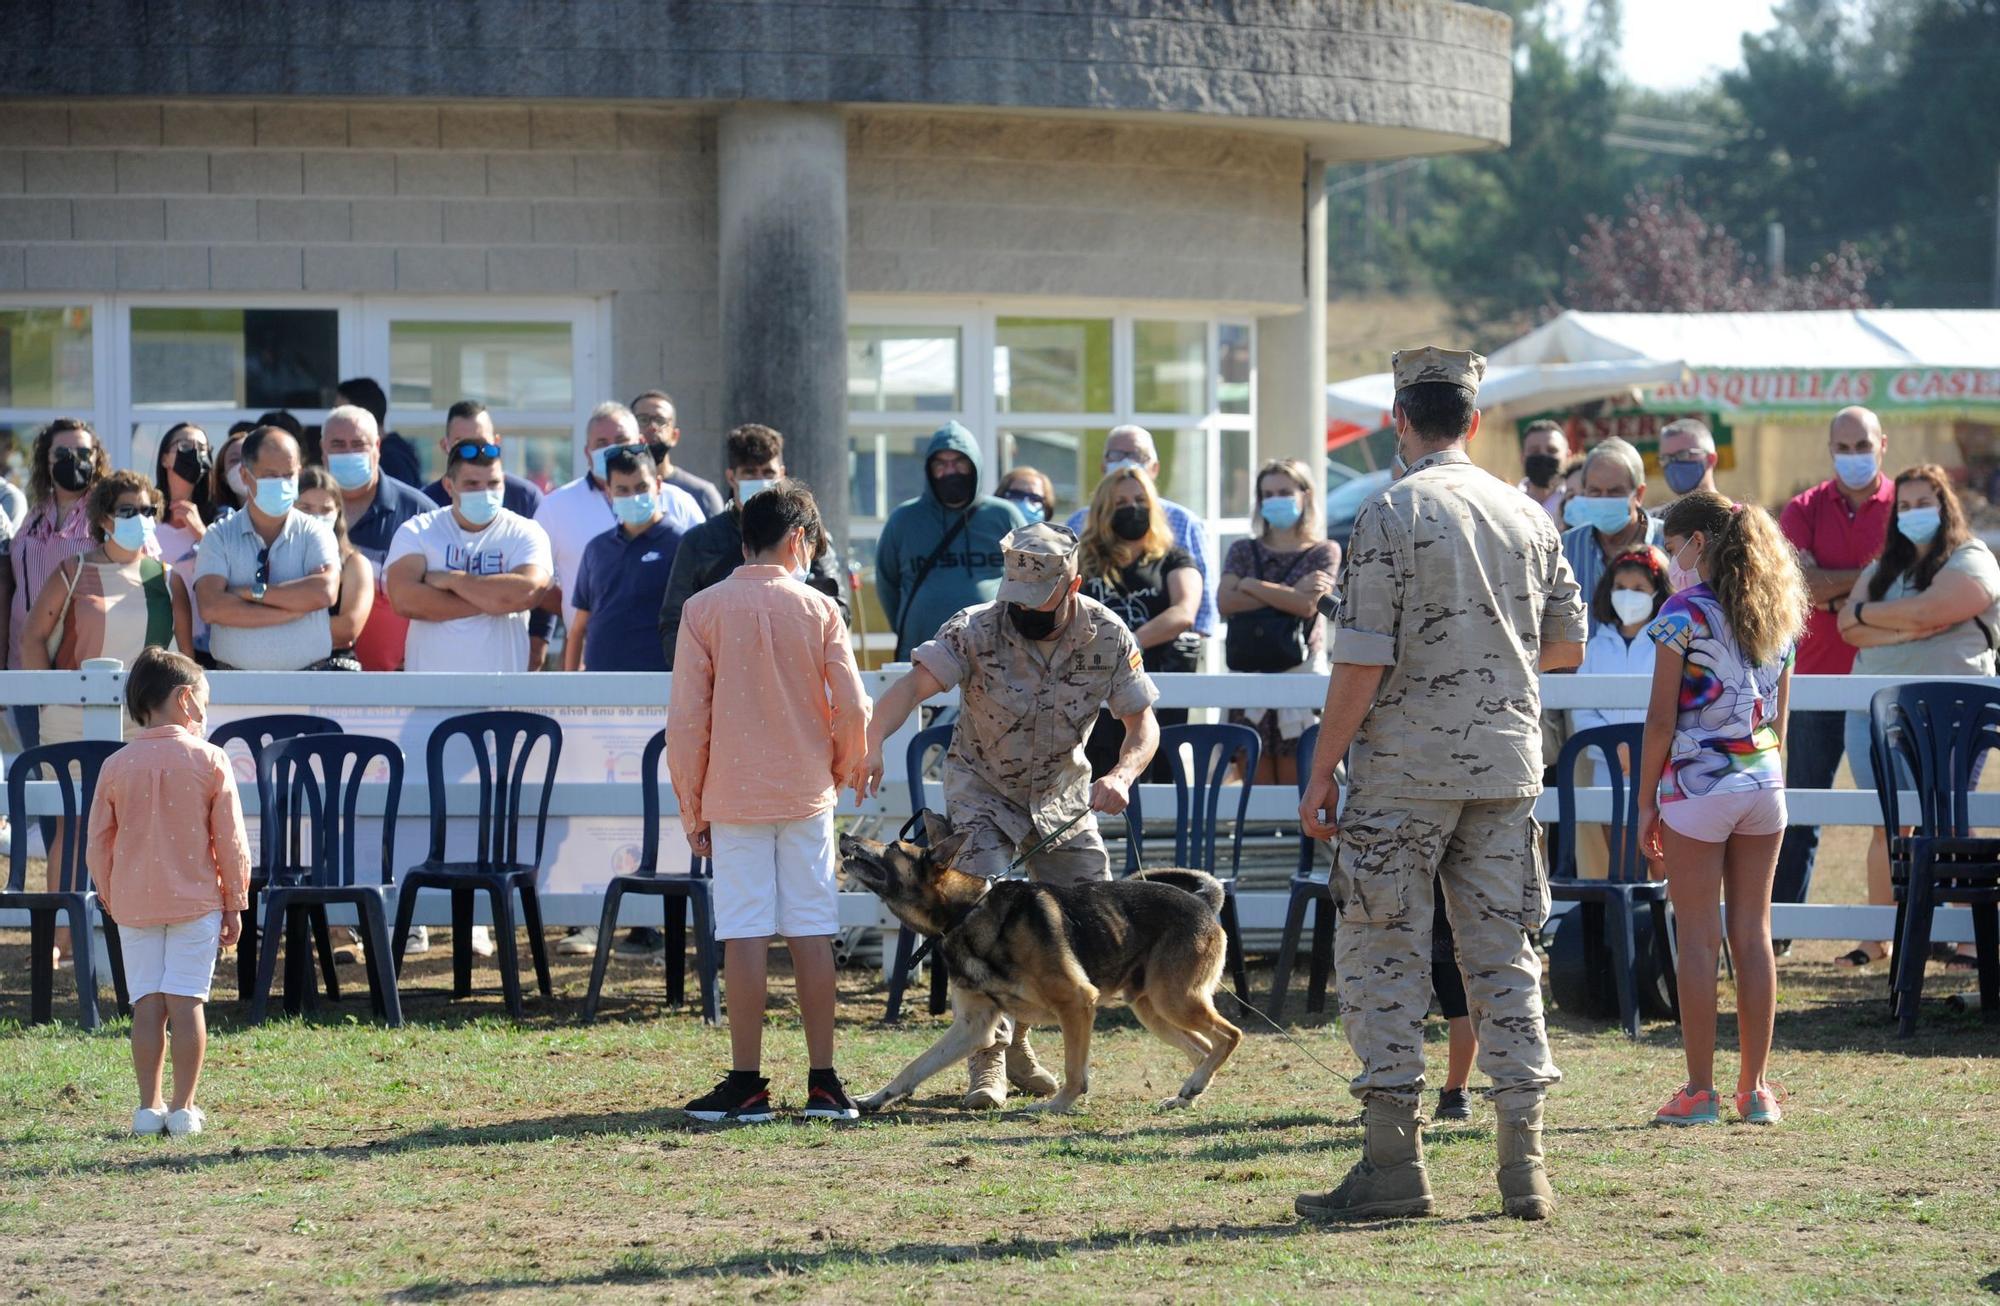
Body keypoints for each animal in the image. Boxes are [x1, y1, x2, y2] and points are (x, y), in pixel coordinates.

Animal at [836, 816, 1240, 1112]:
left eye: (893, 847)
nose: (843, 833)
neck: (966, 912)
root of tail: (1205, 902)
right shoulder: (973, 1027)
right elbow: (915, 1066)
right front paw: (876, 1098)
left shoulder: (1077, 1003)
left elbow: (1074, 1069)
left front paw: (1058, 1104)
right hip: (1152, 1010)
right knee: (1202, 1048)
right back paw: (1187, 1093)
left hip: (1174, 1001)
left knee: (1230, 1036)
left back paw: (1194, 1085)